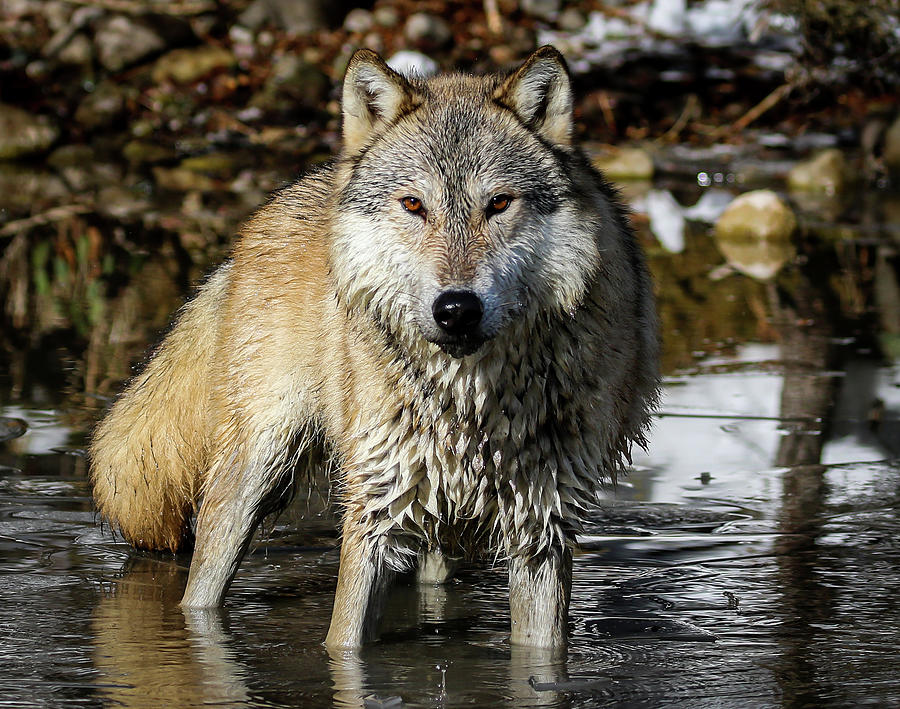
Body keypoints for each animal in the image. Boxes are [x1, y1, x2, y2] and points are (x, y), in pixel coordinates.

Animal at [88, 45, 656, 648]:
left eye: (499, 203)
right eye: (413, 204)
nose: (456, 308)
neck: (470, 401)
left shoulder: (542, 526)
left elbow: (541, 651)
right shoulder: (376, 512)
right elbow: (344, 642)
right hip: (256, 475)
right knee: (200, 590)